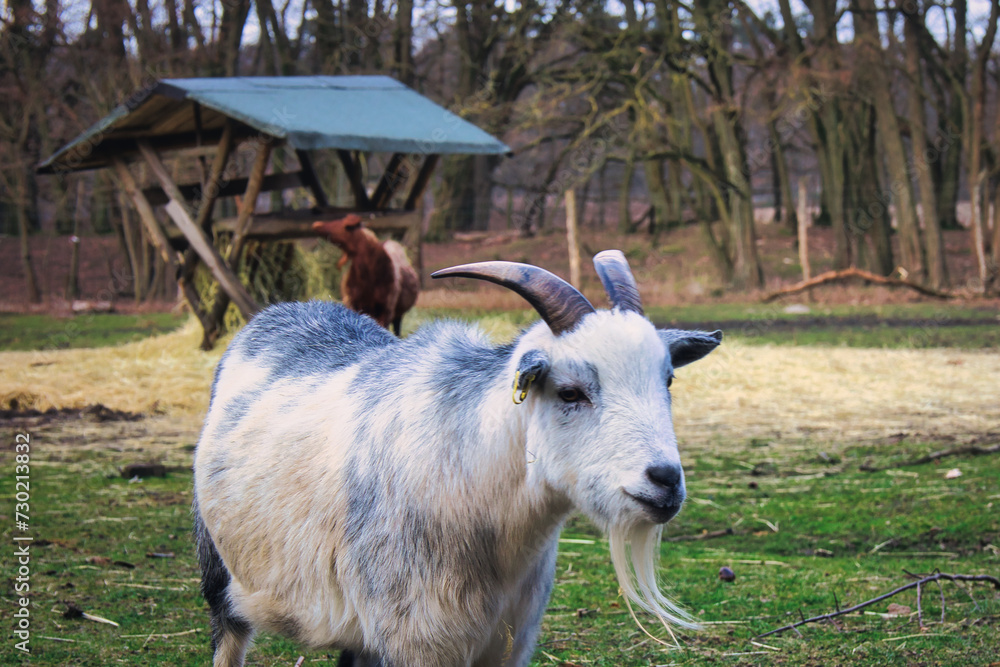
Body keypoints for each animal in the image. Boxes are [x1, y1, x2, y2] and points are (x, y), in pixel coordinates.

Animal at [193, 250, 721, 667]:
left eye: (667, 379)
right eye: (570, 391)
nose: (665, 480)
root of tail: (284, 310)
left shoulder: (507, 642)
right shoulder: (415, 638)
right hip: (220, 577)